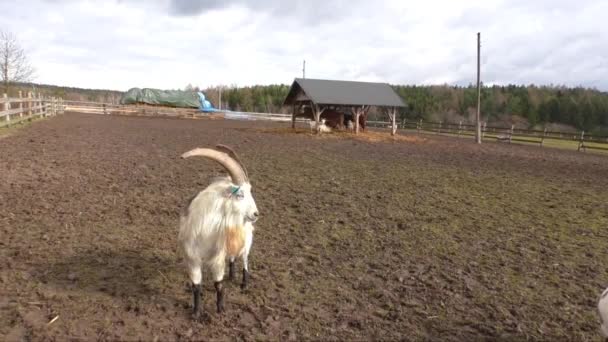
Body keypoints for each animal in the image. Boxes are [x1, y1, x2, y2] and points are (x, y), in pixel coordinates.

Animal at [179, 145, 258, 318]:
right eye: (240, 195)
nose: (256, 214)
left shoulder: (217, 259)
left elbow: (218, 284)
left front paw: (221, 309)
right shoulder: (192, 258)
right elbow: (196, 286)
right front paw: (196, 313)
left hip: (246, 239)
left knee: (244, 259)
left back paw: (244, 283)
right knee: (233, 258)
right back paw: (232, 275)